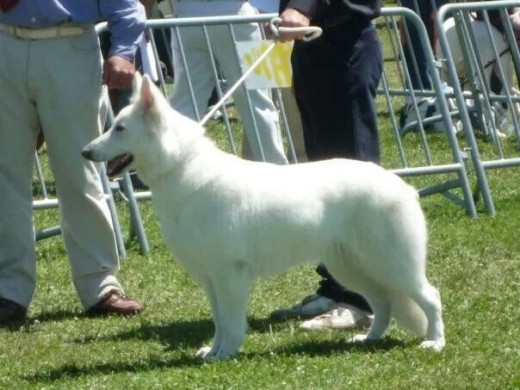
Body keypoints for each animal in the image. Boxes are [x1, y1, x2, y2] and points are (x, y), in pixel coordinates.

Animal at [82, 74, 446, 362]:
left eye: (120, 129)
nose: (85, 152)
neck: (181, 167)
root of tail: (402, 184)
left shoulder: (229, 275)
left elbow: (231, 321)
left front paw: (225, 354)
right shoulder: (211, 278)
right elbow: (219, 320)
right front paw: (212, 351)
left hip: (393, 266)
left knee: (430, 297)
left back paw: (435, 342)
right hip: (353, 269)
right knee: (383, 304)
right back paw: (369, 339)